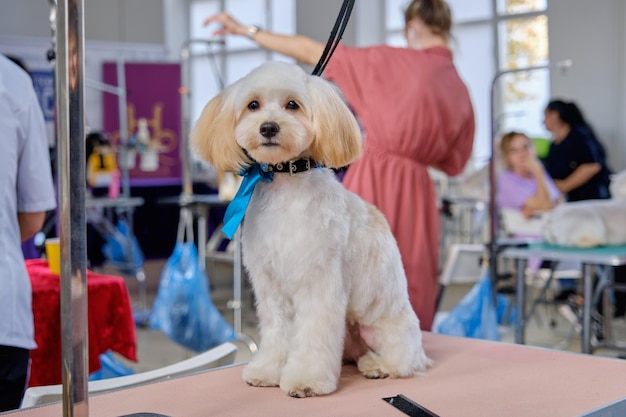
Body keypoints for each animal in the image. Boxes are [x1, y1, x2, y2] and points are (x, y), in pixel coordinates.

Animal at [193, 61, 432, 396]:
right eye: (253, 105)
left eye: (292, 104)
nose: (268, 127)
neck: (284, 188)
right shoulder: (270, 288)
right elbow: (277, 332)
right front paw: (268, 370)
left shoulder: (319, 284)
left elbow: (313, 337)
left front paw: (306, 380)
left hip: (383, 325)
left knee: (405, 358)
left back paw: (379, 365)